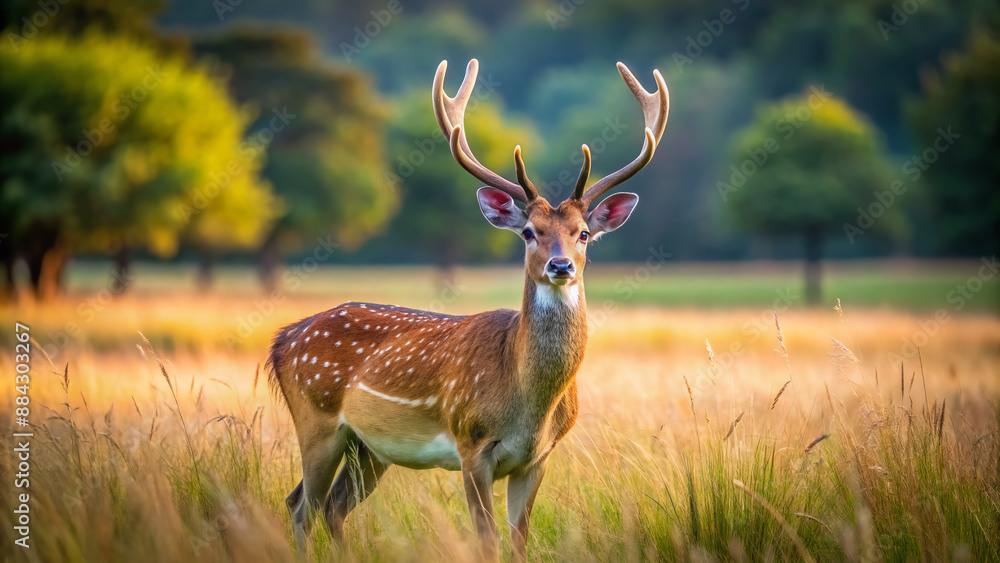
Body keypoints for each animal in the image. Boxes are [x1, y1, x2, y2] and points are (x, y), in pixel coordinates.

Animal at [266, 58, 668, 561]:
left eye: (584, 234)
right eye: (529, 232)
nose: (560, 266)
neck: (529, 406)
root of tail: (284, 338)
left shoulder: (539, 458)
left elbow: (519, 540)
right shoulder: (470, 442)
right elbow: (487, 539)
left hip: (369, 446)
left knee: (329, 506)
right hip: (316, 418)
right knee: (301, 504)